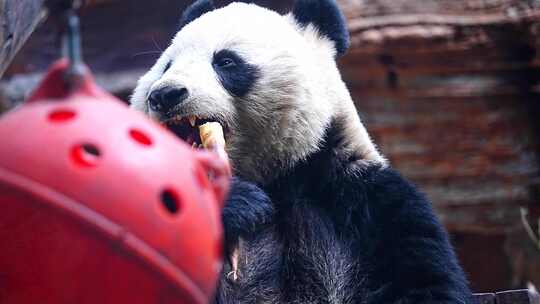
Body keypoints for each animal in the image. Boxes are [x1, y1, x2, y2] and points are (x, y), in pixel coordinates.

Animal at [130, 0, 472, 302]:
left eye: (225, 61)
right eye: (167, 66)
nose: (165, 94)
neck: (276, 177)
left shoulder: (365, 202)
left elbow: (424, 280)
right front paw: (236, 202)